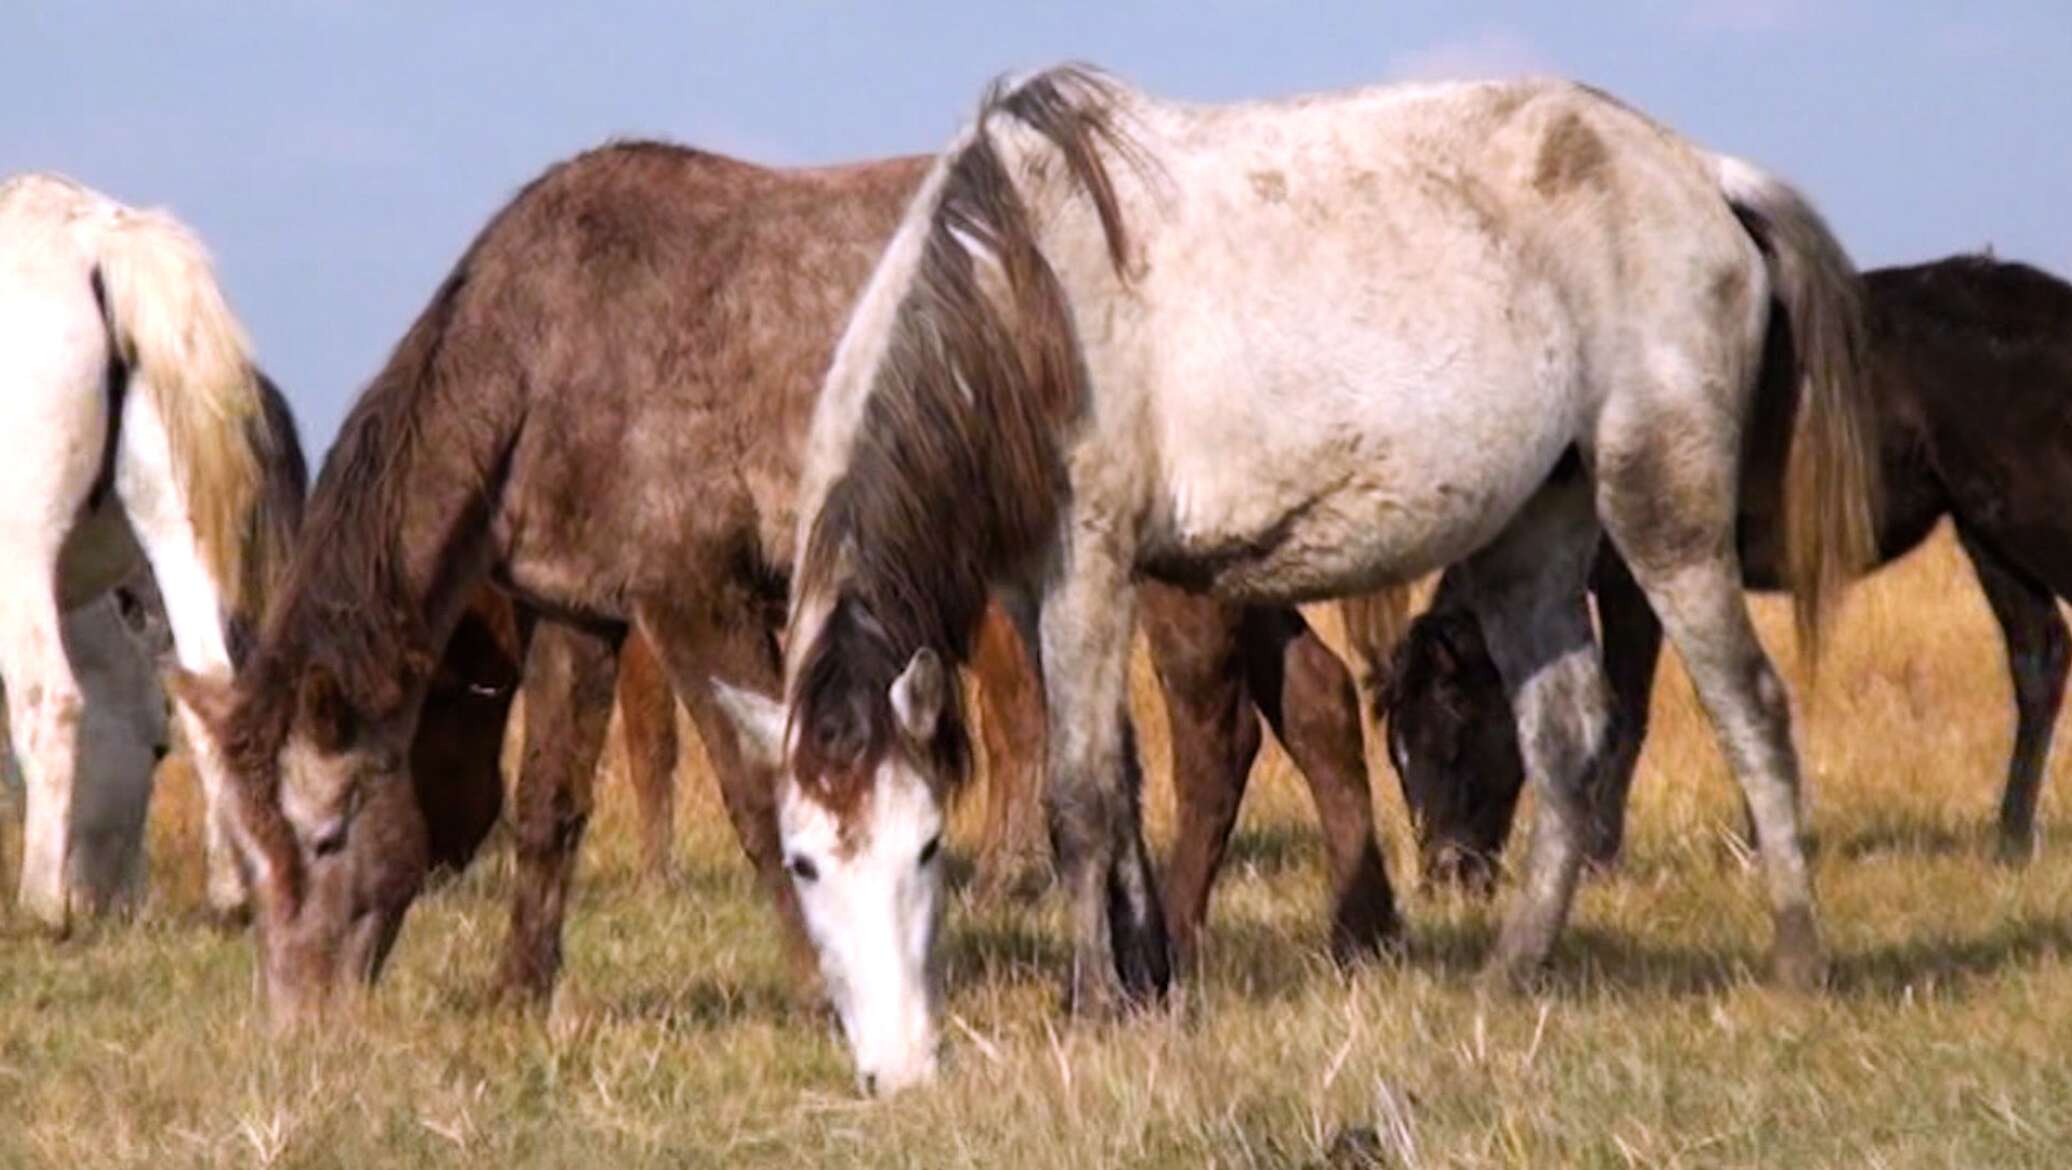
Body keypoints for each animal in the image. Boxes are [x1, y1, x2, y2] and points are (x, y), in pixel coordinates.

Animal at [0, 170, 302, 923]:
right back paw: (228, 894)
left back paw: (39, 906)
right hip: (173, 525)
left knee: (49, 697)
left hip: (17, 553)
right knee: (209, 680)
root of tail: (99, 241)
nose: (110, 902)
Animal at [178, 134, 1392, 1031]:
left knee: (1210, 731)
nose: (296, 1027)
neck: (548, 340)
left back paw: (1172, 950)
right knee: (1315, 702)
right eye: (247, 851)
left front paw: (822, 989)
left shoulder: (694, 600)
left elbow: (763, 800)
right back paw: (1360, 932)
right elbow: (548, 806)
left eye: (326, 837)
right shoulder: (580, 612)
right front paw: (520, 988)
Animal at [721, 61, 1889, 1085]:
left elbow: (1082, 793)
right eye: (802, 862)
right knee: (1565, 742)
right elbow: (1124, 780)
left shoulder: (1089, 560)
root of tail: (1700, 172)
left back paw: (1796, 961)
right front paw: (1147, 988)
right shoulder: (1027, 584)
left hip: (1661, 511)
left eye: (927, 850)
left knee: (1749, 708)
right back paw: (1511, 974)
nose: (898, 1067)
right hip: (1536, 531)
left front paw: (1092, 1004)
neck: (1022, 291)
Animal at [1367, 250, 2072, 882]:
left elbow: (1626, 711)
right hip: (1987, 535)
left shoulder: (1629, 584)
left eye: (1452, 734)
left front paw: (1599, 858)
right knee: (2037, 661)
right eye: (1397, 756)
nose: (1446, 875)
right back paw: (2009, 841)